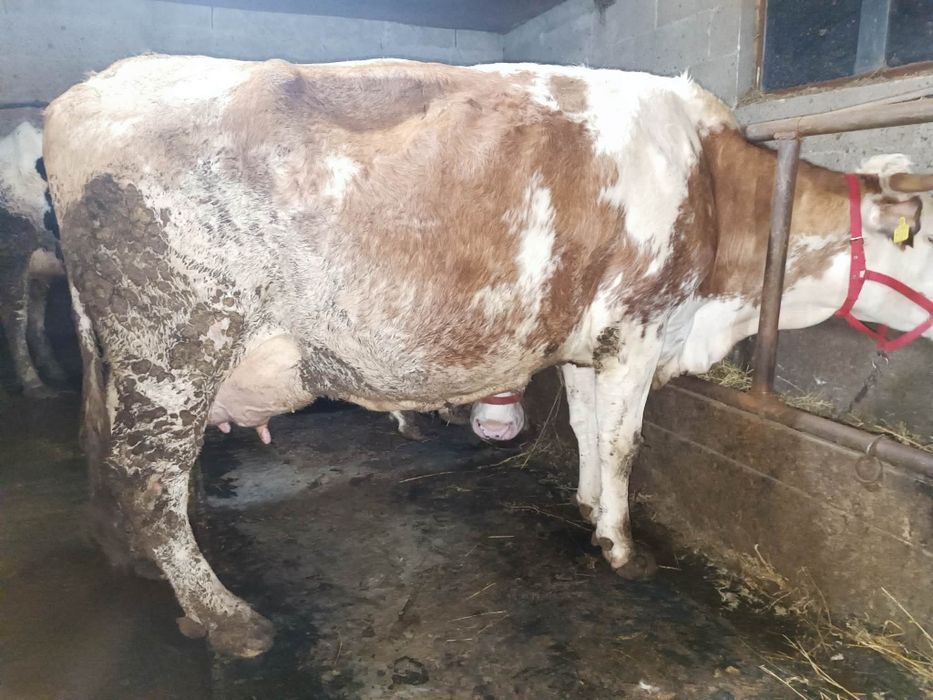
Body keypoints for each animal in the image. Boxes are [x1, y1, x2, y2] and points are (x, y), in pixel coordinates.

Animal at [42, 55, 933, 657]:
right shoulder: (640, 326)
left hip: (133, 360)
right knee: (149, 479)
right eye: (922, 239)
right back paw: (227, 618)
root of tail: (83, 93)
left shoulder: (587, 339)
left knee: (116, 463)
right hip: (177, 344)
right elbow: (624, 442)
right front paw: (622, 547)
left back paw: (149, 570)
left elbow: (584, 428)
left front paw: (586, 507)